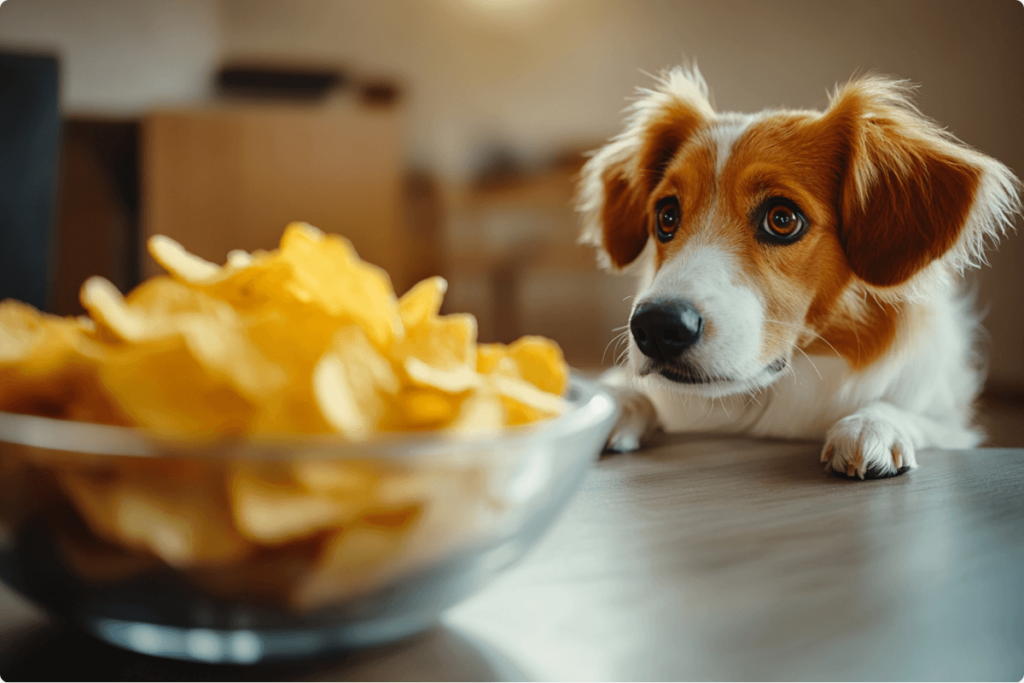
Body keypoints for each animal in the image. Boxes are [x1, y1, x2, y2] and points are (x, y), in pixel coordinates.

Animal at [581, 66, 1019, 479]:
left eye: (782, 219)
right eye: (666, 216)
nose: (656, 327)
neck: (769, 400)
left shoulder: (953, 424)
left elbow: (923, 420)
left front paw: (874, 423)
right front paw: (612, 404)